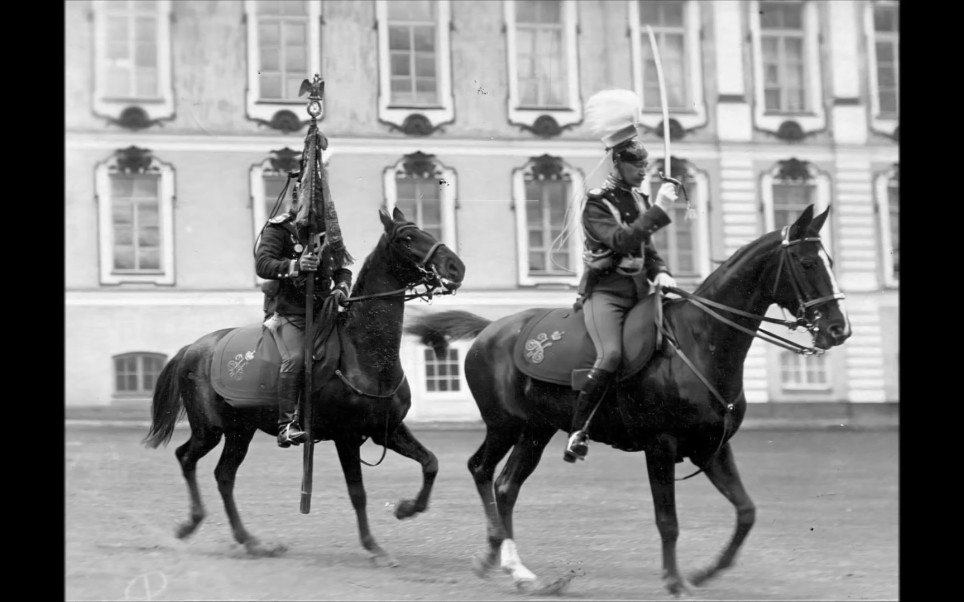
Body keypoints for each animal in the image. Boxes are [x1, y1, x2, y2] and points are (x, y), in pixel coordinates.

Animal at [142, 207, 466, 564]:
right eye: (407, 238)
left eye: (423, 230)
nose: (456, 267)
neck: (364, 354)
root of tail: (192, 348)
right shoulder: (346, 437)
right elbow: (358, 492)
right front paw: (374, 546)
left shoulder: (388, 429)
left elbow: (430, 463)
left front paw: (408, 508)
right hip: (210, 429)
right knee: (187, 458)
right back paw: (193, 523)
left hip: (240, 431)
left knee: (224, 476)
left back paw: (251, 541)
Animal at [406, 205, 852, 592]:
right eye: (807, 263)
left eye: (828, 259)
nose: (838, 328)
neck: (699, 342)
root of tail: (492, 329)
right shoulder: (661, 447)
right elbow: (668, 520)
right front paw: (674, 580)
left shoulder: (712, 448)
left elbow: (746, 512)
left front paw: (706, 571)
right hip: (505, 425)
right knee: (482, 469)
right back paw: (496, 553)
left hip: (535, 431)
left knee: (506, 486)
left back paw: (515, 566)